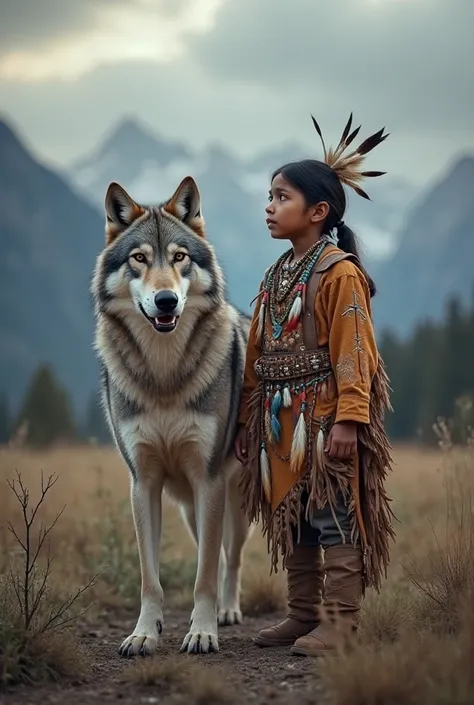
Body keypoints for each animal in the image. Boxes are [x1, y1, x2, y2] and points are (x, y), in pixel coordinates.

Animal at [93, 175, 256, 656]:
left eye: (180, 257)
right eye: (140, 259)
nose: (165, 301)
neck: (164, 376)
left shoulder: (209, 480)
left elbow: (204, 576)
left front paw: (202, 632)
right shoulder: (143, 483)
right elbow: (151, 579)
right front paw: (144, 634)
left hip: (232, 504)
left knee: (230, 557)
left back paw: (228, 611)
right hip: (190, 510)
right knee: (213, 552)